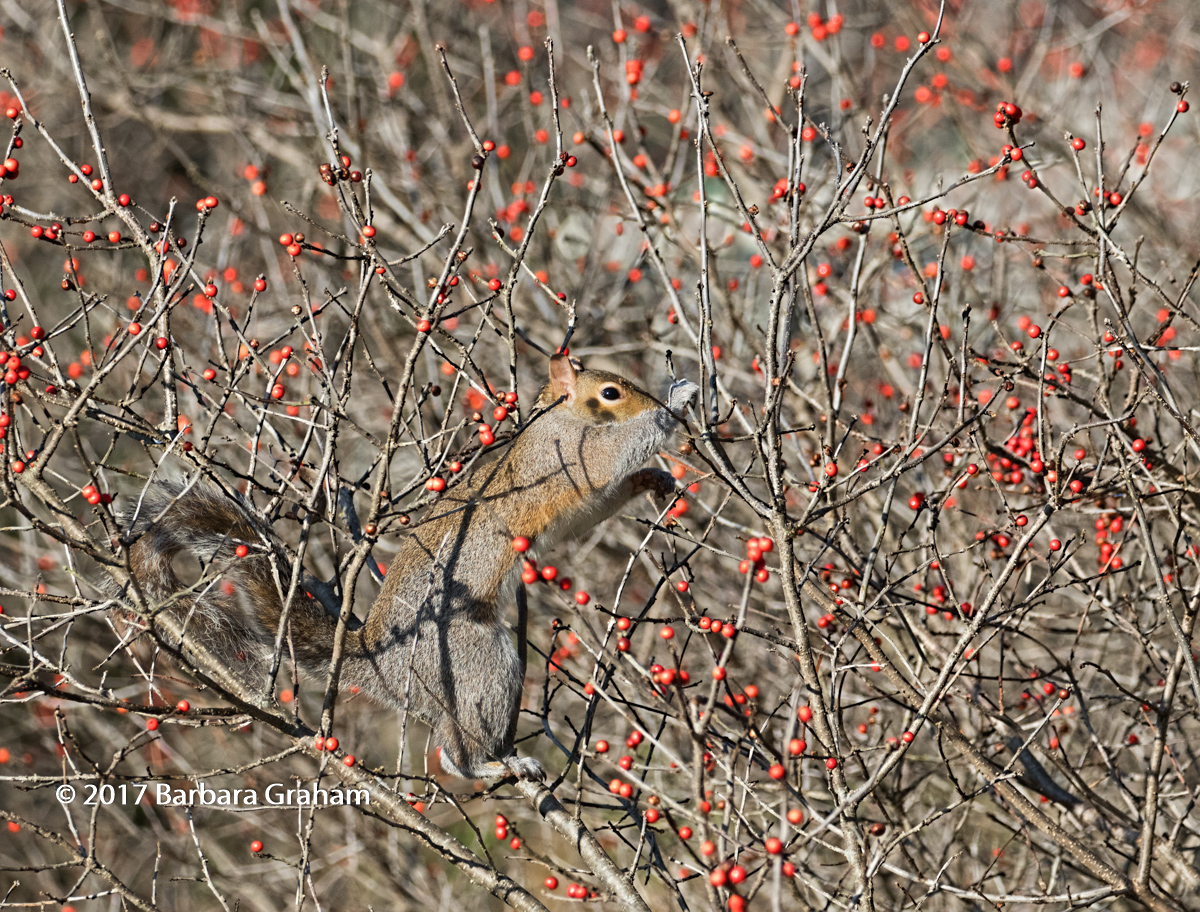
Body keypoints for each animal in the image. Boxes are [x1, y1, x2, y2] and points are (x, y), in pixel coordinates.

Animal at [123, 355, 697, 780]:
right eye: (611, 393)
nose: (652, 398)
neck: (561, 419)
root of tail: (376, 655)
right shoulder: (567, 458)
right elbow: (611, 456)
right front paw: (676, 401)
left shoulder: (576, 497)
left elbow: (598, 504)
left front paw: (655, 479)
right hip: (470, 656)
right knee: (456, 746)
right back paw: (486, 766)